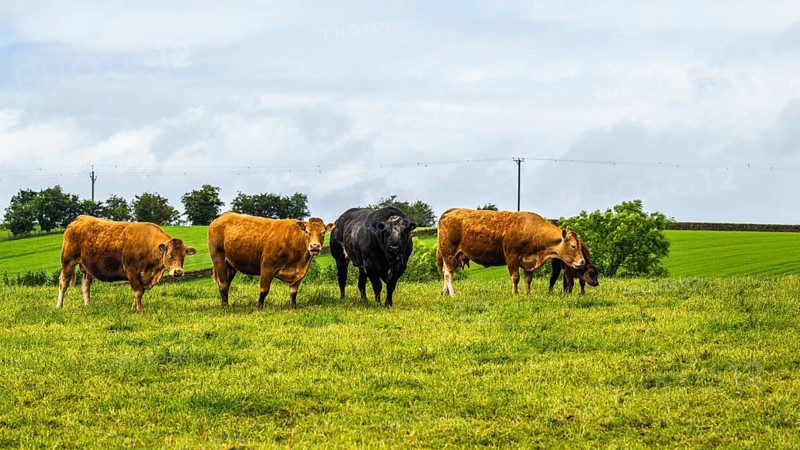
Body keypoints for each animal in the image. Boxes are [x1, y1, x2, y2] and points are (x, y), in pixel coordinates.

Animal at [57, 215, 197, 311]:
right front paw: (139, 309)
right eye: (169, 255)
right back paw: (59, 305)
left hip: (87, 267)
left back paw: (88, 305)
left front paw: (133, 308)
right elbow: (138, 291)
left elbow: (140, 292)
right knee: (63, 283)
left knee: (85, 285)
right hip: (67, 261)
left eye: (183, 256)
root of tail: (80, 218)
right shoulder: (131, 271)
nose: (178, 272)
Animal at [436, 208, 585, 296]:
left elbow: (528, 279)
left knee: (445, 272)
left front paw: (528, 294)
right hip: (449, 253)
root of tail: (452, 211)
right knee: (448, 274)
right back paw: (453, 293)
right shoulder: (511, 256)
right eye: (573, 246)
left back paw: (445, 292)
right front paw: (515, 293)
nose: (582, 261)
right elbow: (515, 277)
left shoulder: (529, 261)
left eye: (580, 246)